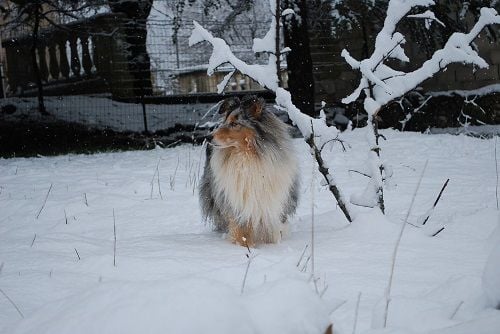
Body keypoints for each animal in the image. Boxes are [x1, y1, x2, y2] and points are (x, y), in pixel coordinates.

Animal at [200, 95, 300, 247]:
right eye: (225, 121)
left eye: (234, 123)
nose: (208, 137)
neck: (247, 157)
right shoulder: (237, 203)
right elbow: (242, 232)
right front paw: (246, 247)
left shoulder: (269, 203)